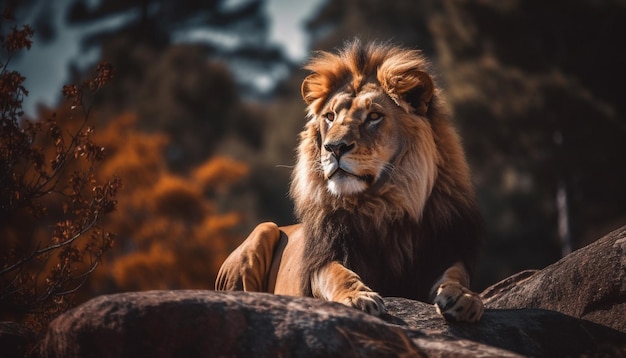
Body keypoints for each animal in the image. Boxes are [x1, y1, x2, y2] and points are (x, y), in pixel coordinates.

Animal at [214, 39, 482, 322]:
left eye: (374, 116)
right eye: (330, 117)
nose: (334, 147)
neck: (383, 206)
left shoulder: (445, 251)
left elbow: (456, 274)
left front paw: (463, 298)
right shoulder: (323, 260)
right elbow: (337, 274)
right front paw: (358, 297)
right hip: (262, 231)